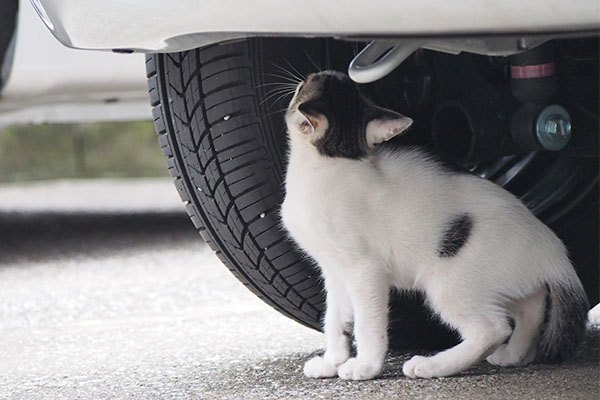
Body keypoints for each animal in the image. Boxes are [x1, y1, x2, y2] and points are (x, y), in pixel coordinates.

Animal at [282, 70, 592, 380]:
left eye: (307, 83)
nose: (317, 73)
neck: (331, 162)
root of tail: (553, 250)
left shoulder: (365, 270)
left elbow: (367, 323)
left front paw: (366, 366)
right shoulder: (334, 270)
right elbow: (335, 317)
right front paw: (331, 361)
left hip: (449, 283)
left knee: (492, 329)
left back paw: (432, 365)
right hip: (501, 282)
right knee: (533, 305)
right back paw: (514, 354)